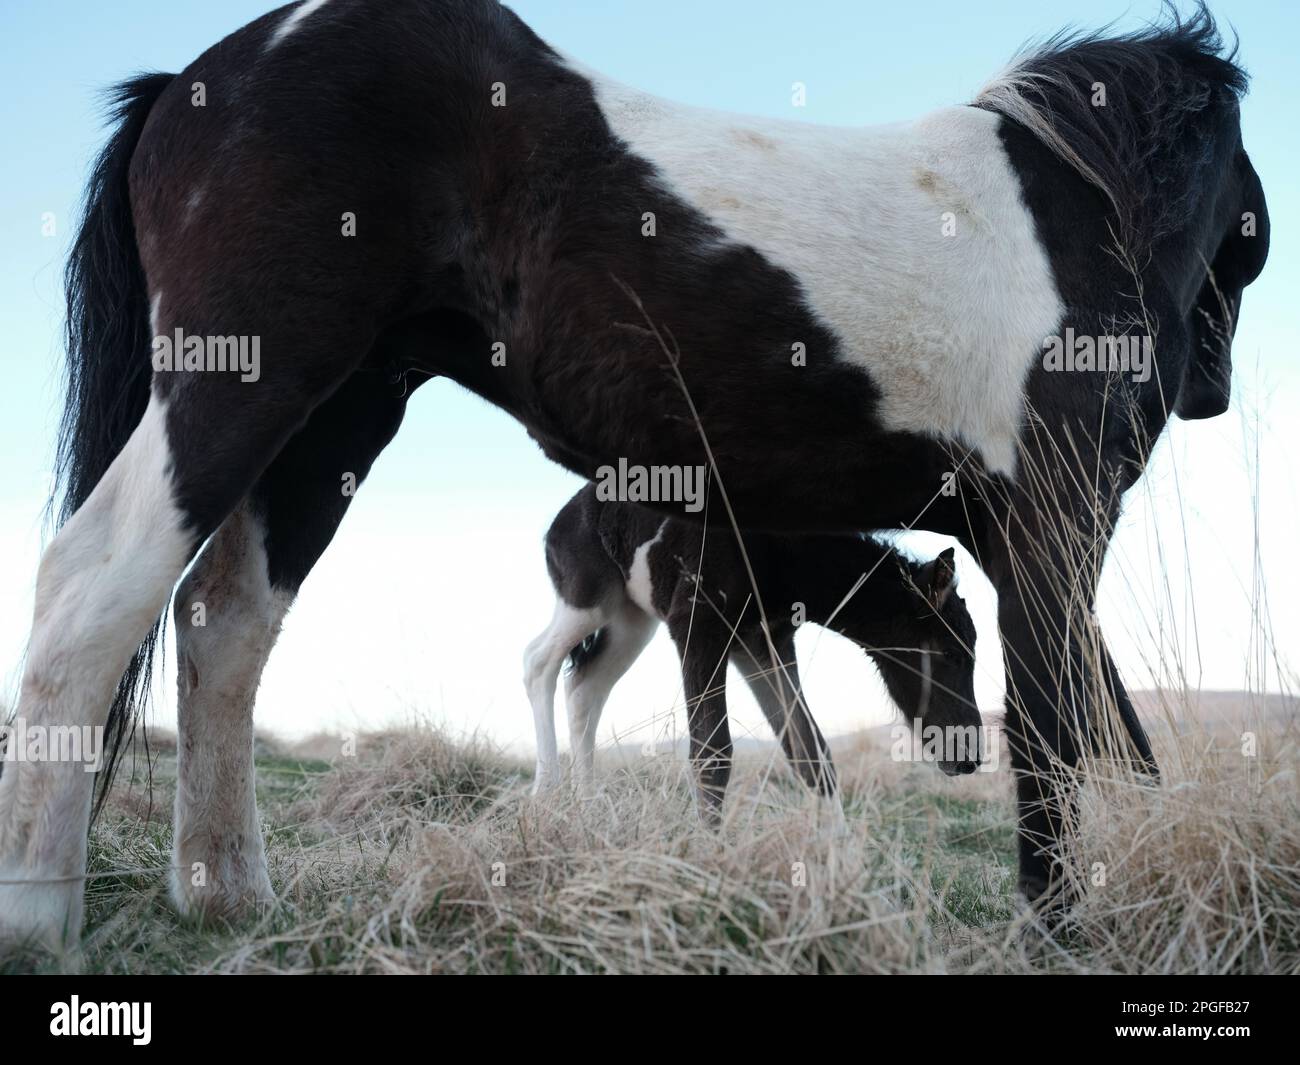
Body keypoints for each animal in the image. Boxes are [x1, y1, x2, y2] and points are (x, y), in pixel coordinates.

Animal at [522, 486, 977, 811]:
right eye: (950, 654)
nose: (969, 758)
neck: (780, 549)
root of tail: (556, 524)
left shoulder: (763, 642)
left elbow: (811, 752)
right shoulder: (697, 625)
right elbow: (712, 755)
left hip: (631, 621)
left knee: (587, 686)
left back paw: (587, 805)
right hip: (589, 599)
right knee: (538, 662)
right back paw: (546, 792)